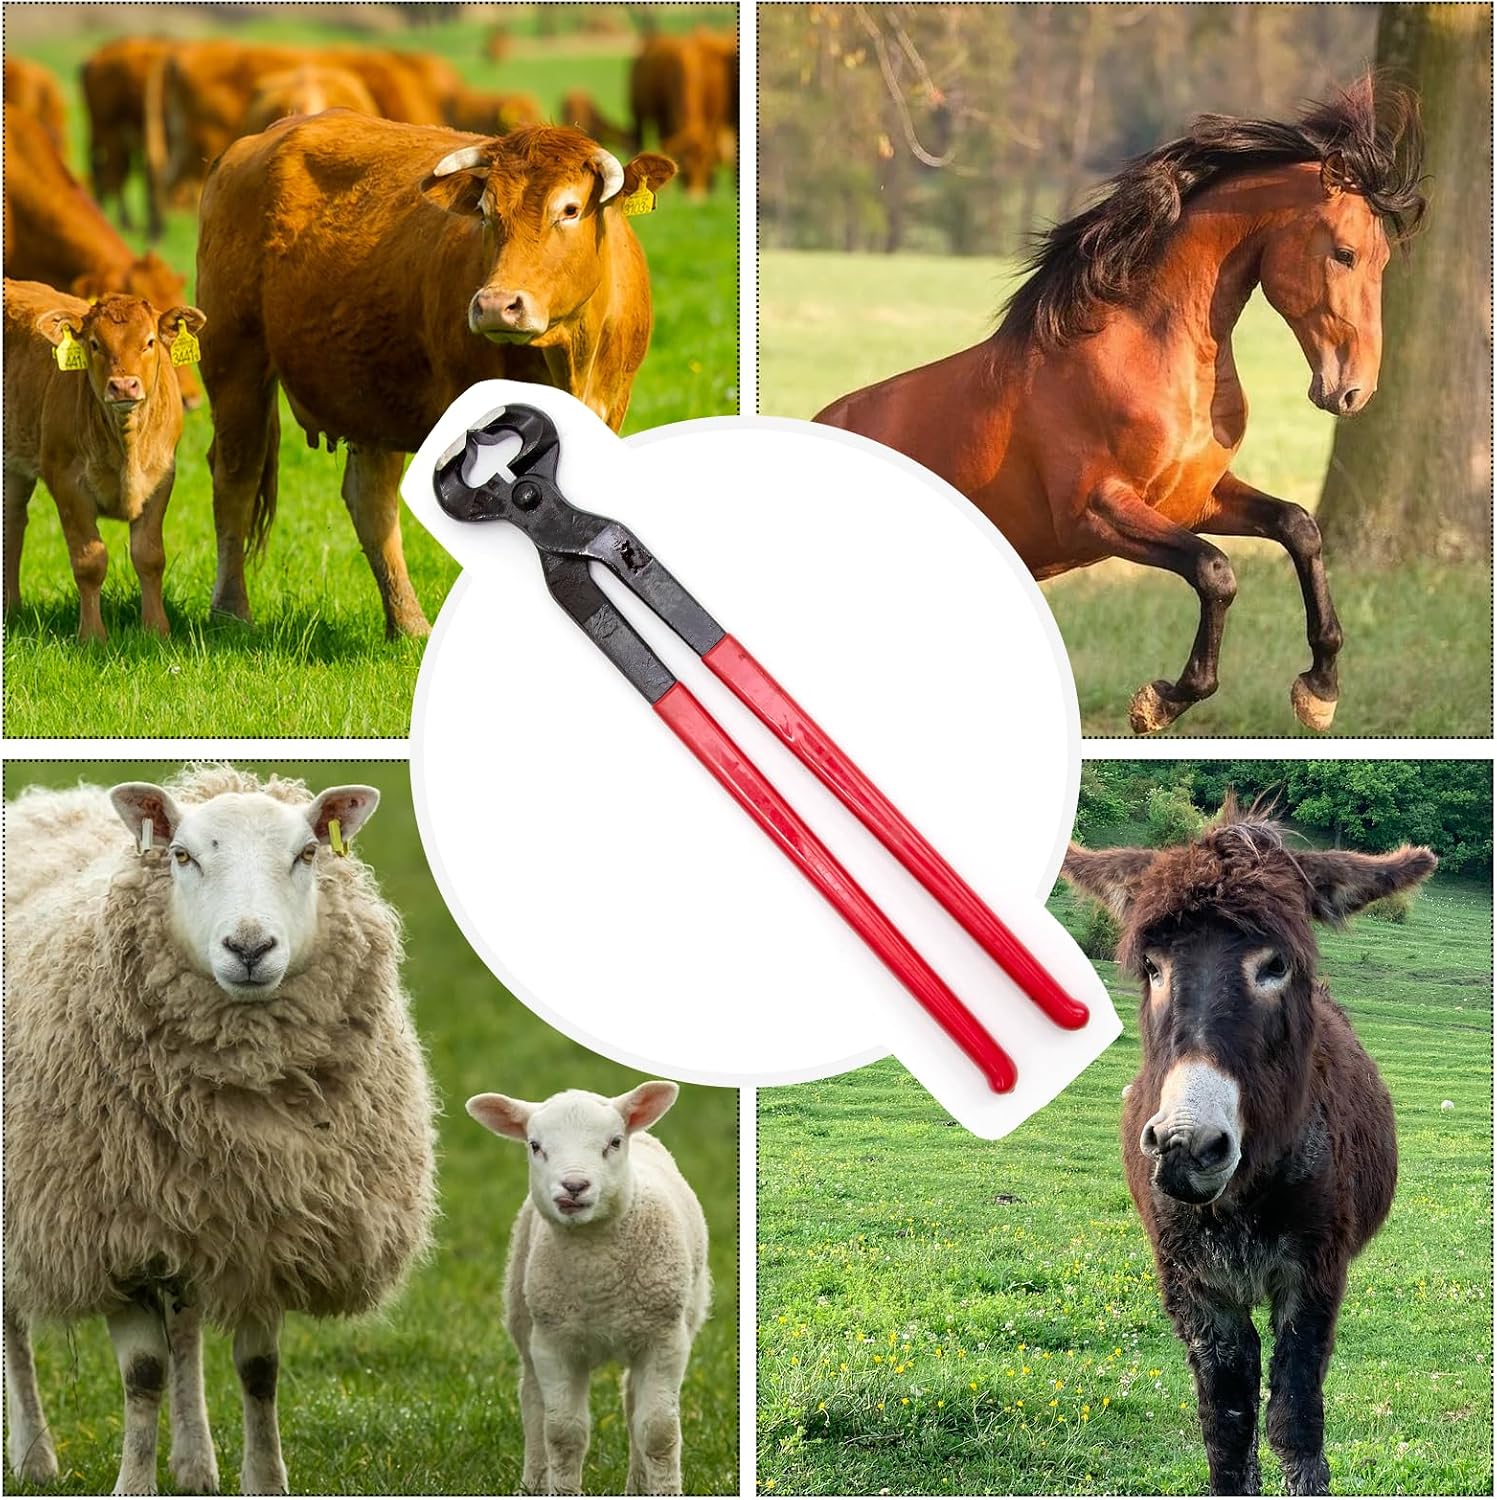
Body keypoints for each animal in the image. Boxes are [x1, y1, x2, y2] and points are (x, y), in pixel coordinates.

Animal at [816, 81, 1425, 734]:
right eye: (1344, 253)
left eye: (1383, 260)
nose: (1353, 391)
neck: (1145, 352)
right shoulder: (1096, 513)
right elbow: (1215, 571)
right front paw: (1162, 700)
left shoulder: (1194, 500)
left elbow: (1298, 528)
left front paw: (1319, 689)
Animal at [1063, 801, 1436, 1494]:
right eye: (1152, 969)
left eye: (1276, 966)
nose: (1185, 1145)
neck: (1241, 1199)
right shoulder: (1195, 1288)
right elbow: (1228, 1430)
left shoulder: (1313, 1274)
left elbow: (1295, 1422)